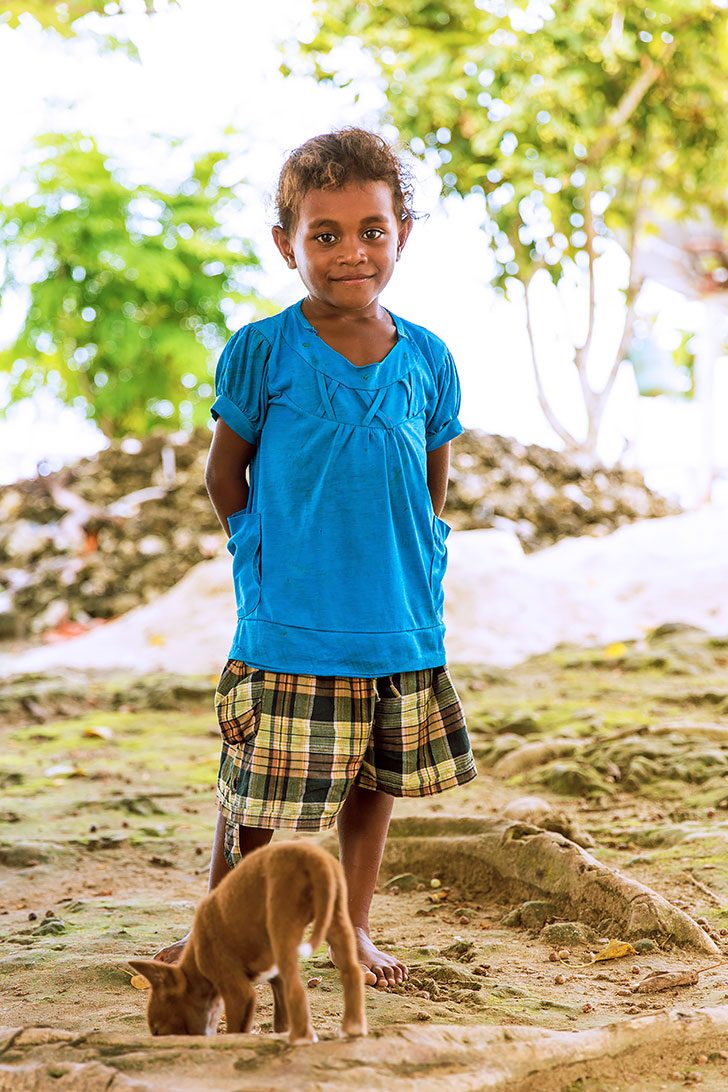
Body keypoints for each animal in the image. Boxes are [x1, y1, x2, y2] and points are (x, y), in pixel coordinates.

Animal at [128, 838, 366, 1043]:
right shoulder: (275, 979)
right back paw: (352, 1027)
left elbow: (236, 1029)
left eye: (158, 1031)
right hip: (336, 917)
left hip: (283, 922)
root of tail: (312, 857)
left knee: (296, 989)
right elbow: (281, 1021)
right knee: (351, 972)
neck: (196, 961)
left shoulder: (238, 992)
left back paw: (301, 1038)